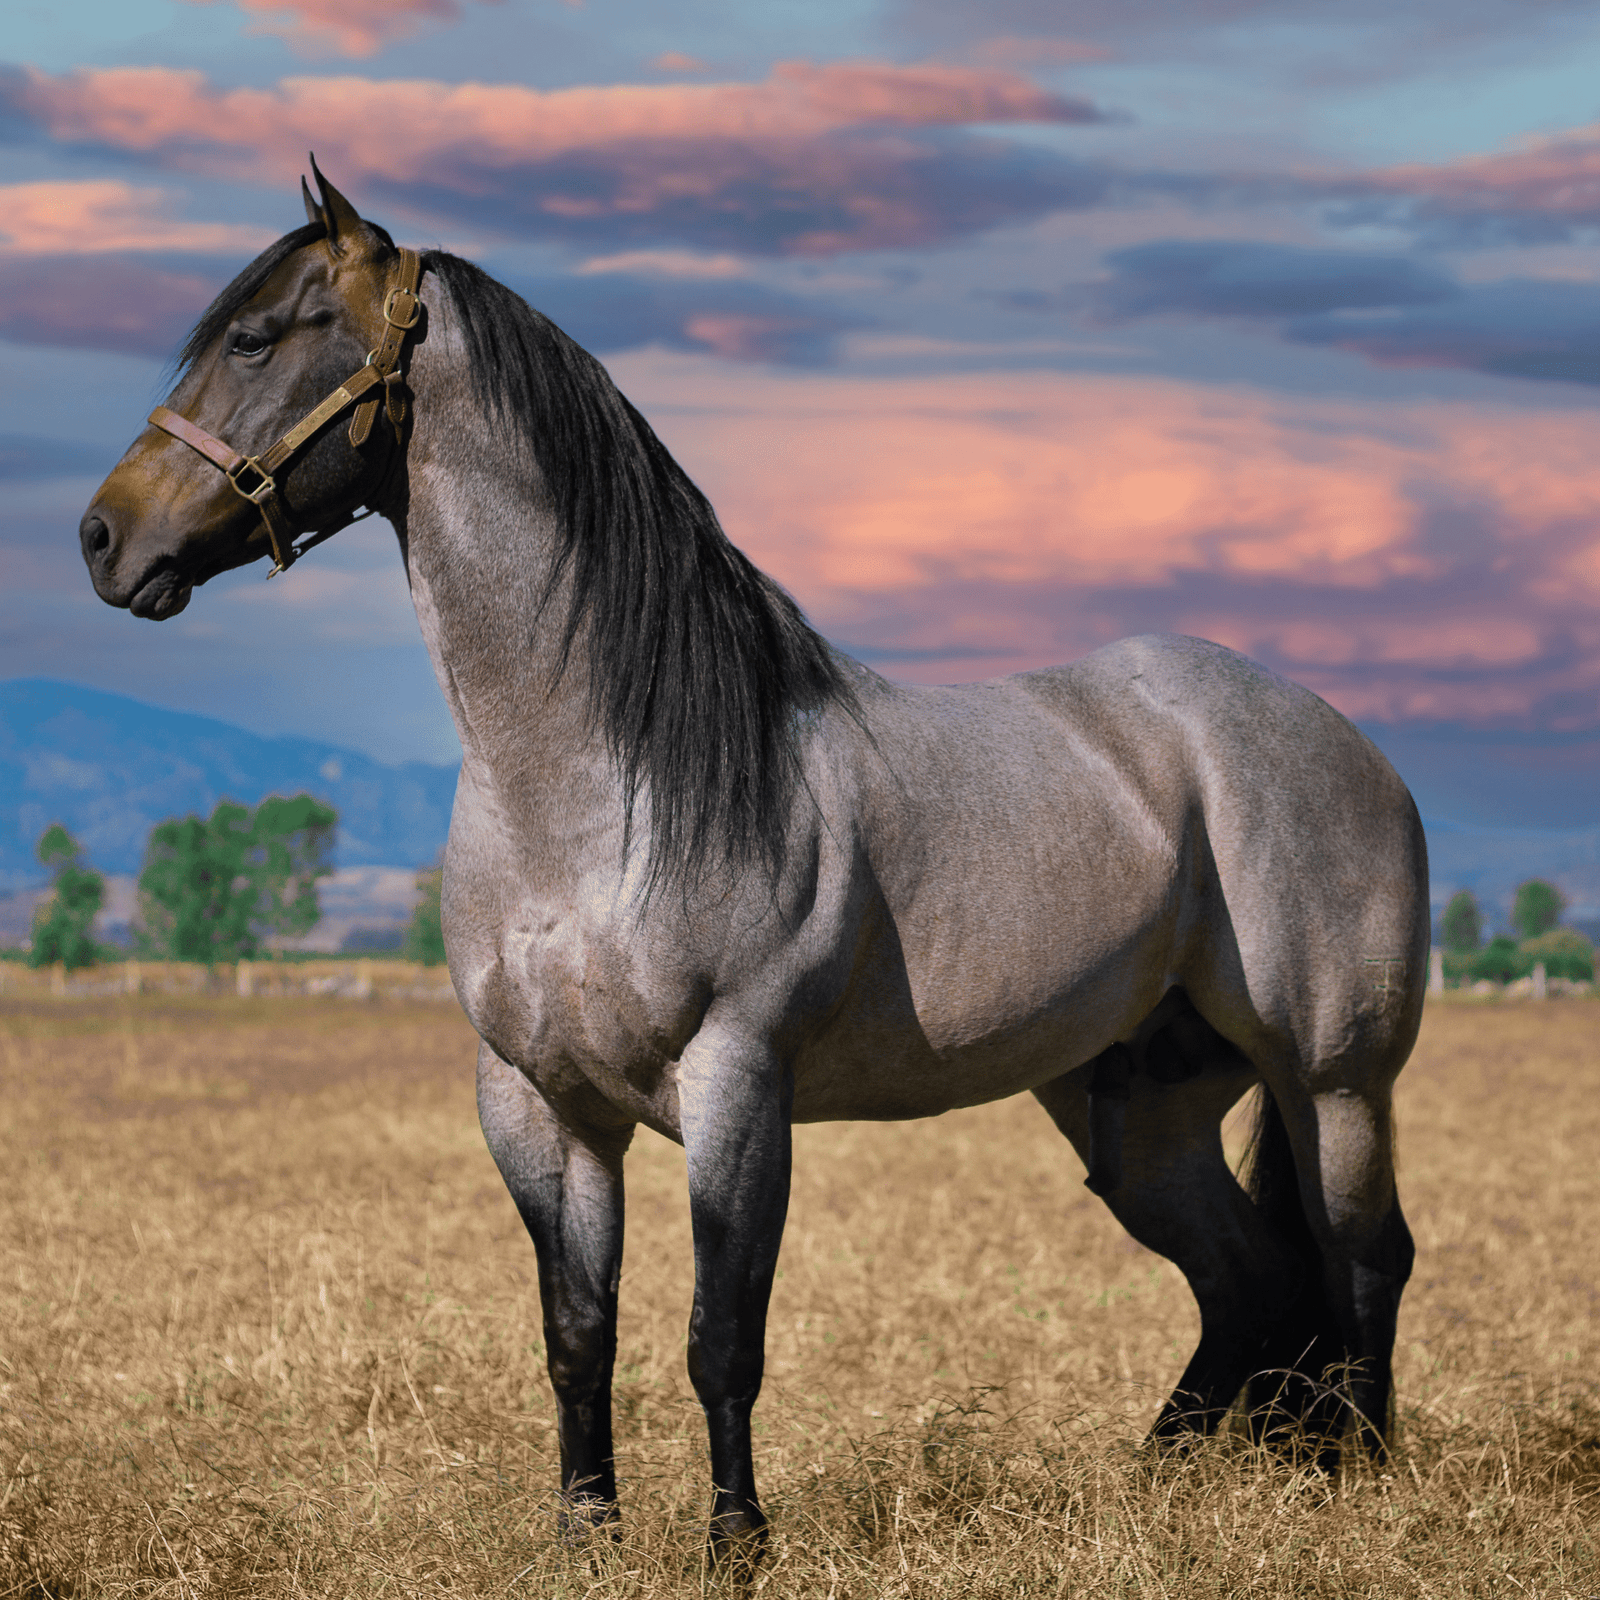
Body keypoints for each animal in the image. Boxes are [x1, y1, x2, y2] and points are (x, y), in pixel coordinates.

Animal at [79, 164, 1426, 1568]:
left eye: (253, 338)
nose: (104, 539)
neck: (593, 787)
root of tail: (1342, 740)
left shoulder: (736, 1083)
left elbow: (720, 1337)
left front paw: (736, 1539)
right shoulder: (537, 1104)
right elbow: (578, 1335)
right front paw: (584, 1536)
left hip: (1333, 1080)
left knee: (1362, 1255)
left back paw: (1361, 1482)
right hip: (1136, 1109)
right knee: (1246, 1282)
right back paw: (1157, 1483)